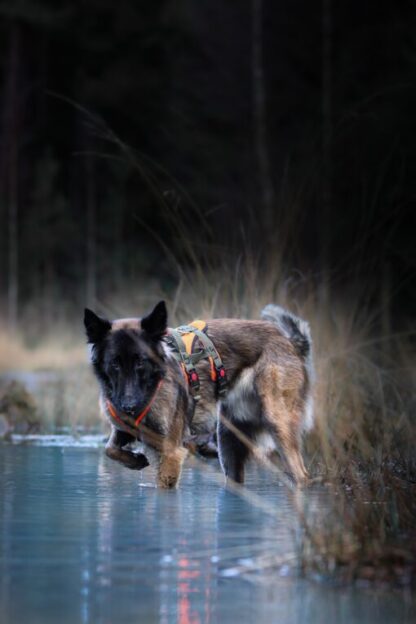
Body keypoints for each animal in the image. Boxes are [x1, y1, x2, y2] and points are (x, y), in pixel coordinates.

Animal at [83, 302, 312, 488]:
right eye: (114, 363)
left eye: (141, 362)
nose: (129, 406)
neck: (153, 385)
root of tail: (289, 341)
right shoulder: (125, 431)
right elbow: (109, 449)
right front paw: (135, 460)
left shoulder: (172, 452)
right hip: (228, 442)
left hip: (278, 424)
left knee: (301, 475)